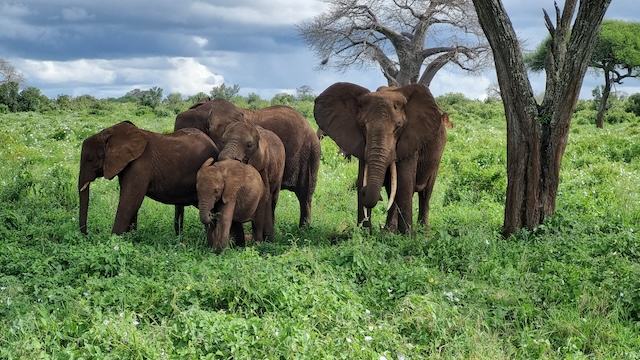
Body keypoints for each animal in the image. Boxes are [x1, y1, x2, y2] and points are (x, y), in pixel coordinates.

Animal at [78, 120, 220, 233]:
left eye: (90, 159)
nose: (87, 234)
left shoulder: (140, 166)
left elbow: (129, 200)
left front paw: (114, 240)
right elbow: (131, 201)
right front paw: (130, 236)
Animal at [314, 82, 452, 233]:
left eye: (398, 127)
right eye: (363, 126)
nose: (377, 197)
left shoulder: (410, 139)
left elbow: (404, 184)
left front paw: (407, 236)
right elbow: (363, 178)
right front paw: (364, 235)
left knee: (425, 193)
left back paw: (423, 231)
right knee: (392, 191)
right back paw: (389, 231)